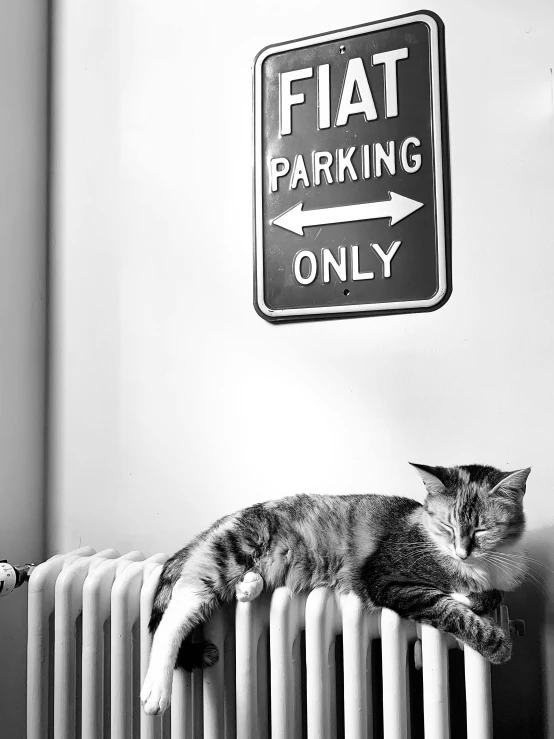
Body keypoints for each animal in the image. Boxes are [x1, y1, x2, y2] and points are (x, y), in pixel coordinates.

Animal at [140, 462, 528, 716]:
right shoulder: (386, 579)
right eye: (448, 526)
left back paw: (249, 587)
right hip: (233, 549)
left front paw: (474, 595)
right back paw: (156, 690)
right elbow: (448, 609)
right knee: (175, 613)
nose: (463, 551)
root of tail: (224, 521)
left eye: (482, 529)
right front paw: (497, 643)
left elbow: (488, 593)